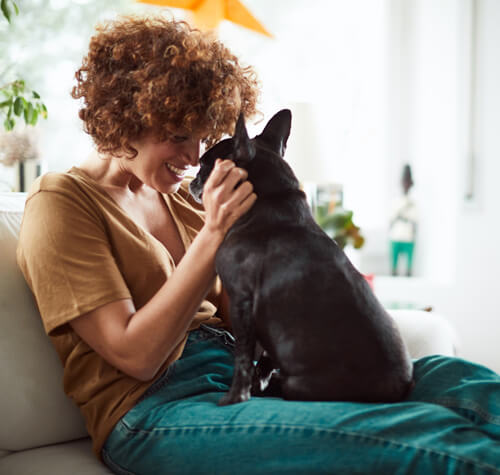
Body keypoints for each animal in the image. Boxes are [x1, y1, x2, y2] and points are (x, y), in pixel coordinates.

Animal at [188, 110, 414, 406]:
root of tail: (399, 391)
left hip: (300, 384)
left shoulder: (241, 301)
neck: (270, 200)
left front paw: (235, 396)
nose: (192, 180)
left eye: (205, 165)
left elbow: (243, 357)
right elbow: (264, 359)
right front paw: (257, 385)